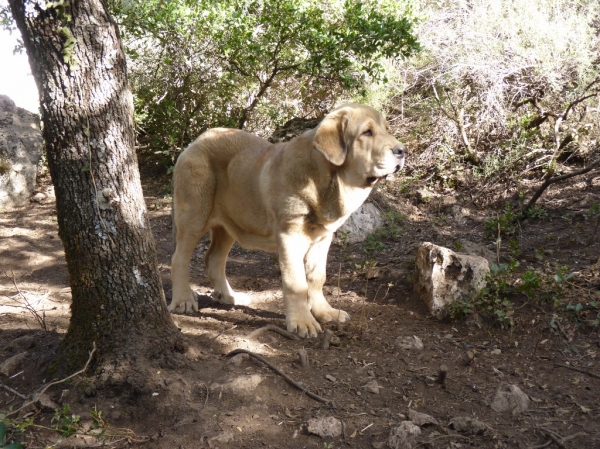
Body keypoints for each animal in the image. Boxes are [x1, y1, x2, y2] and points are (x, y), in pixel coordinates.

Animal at [166, 104, 406, 336]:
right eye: (367, 132)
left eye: (386, 129)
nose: (402, 151)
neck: (324, 181)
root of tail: (197, 140)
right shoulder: (290, 236)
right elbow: (296, 282)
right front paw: (302, 322)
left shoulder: (323, 238)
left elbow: (317, 277)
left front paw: (325, 312)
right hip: (194, 215)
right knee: (179, 258)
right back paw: (183, 300)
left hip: (230, 223)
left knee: (214, 259)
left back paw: (229, 295)